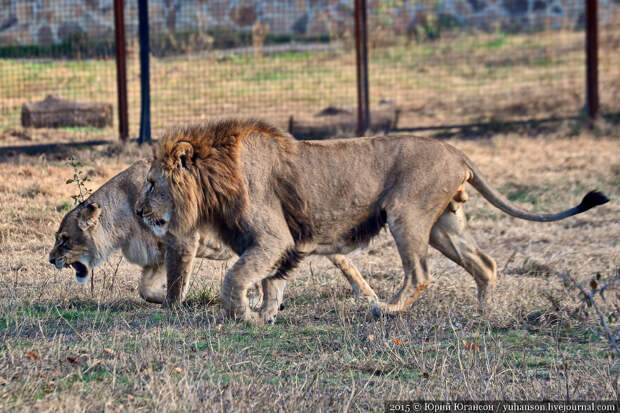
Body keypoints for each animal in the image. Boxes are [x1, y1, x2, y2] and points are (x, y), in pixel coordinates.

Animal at [48, 159, 376, 304]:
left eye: (64, 240)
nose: (50, 260)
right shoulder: (157, 256)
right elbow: (146, 289)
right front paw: (163, 298)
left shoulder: (182, 240)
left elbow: (177, 281)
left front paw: (174, 306)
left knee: (342, 259)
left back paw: (367, 294)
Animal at [133, 118, 608, 322]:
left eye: (152, 183)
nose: (137, 211)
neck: (216, 177)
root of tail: (457, 151)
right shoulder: (277, 243)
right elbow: (270, 280)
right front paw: (266, 313)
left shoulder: (271, 236)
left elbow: (237, 277)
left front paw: (243, 315)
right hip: (444, 224)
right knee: (485, 264)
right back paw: (484, 313)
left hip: (406, 214)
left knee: (419, 273)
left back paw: (387, 308)